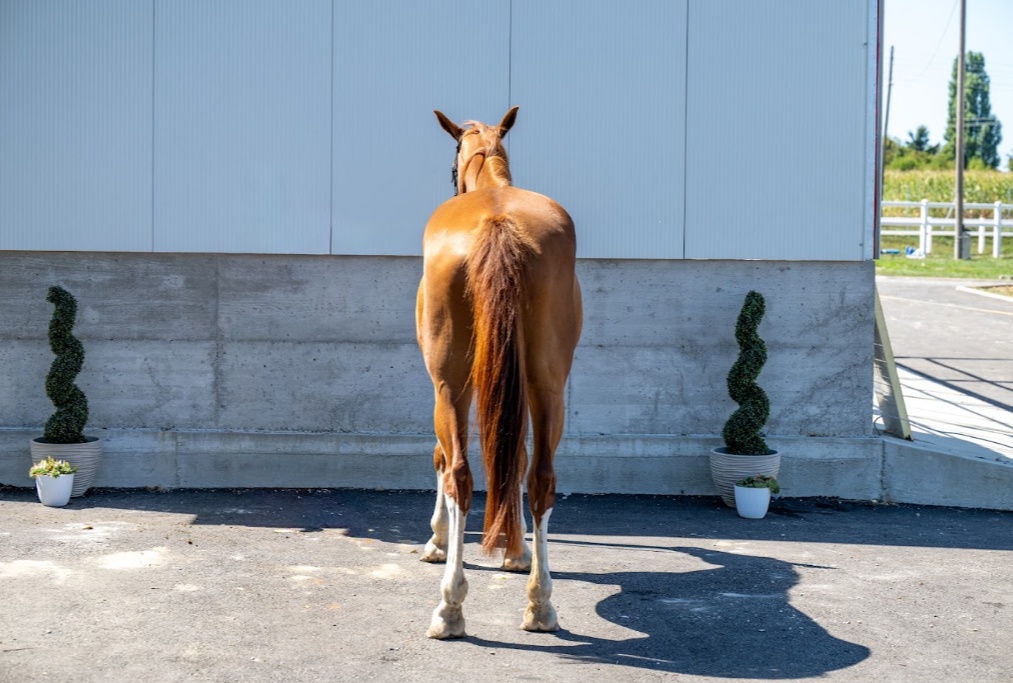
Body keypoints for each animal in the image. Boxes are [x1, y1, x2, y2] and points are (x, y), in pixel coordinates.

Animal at [415, 106, 582, 639]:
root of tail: (497, 219)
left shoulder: (444, 384)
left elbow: (441, 458)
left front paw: (437, 541)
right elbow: (516, 455)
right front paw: (517, 549)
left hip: (450, 384)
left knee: (460, 476)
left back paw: (450, 606)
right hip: (548, 383)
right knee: (541, 477)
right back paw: (541, 603)